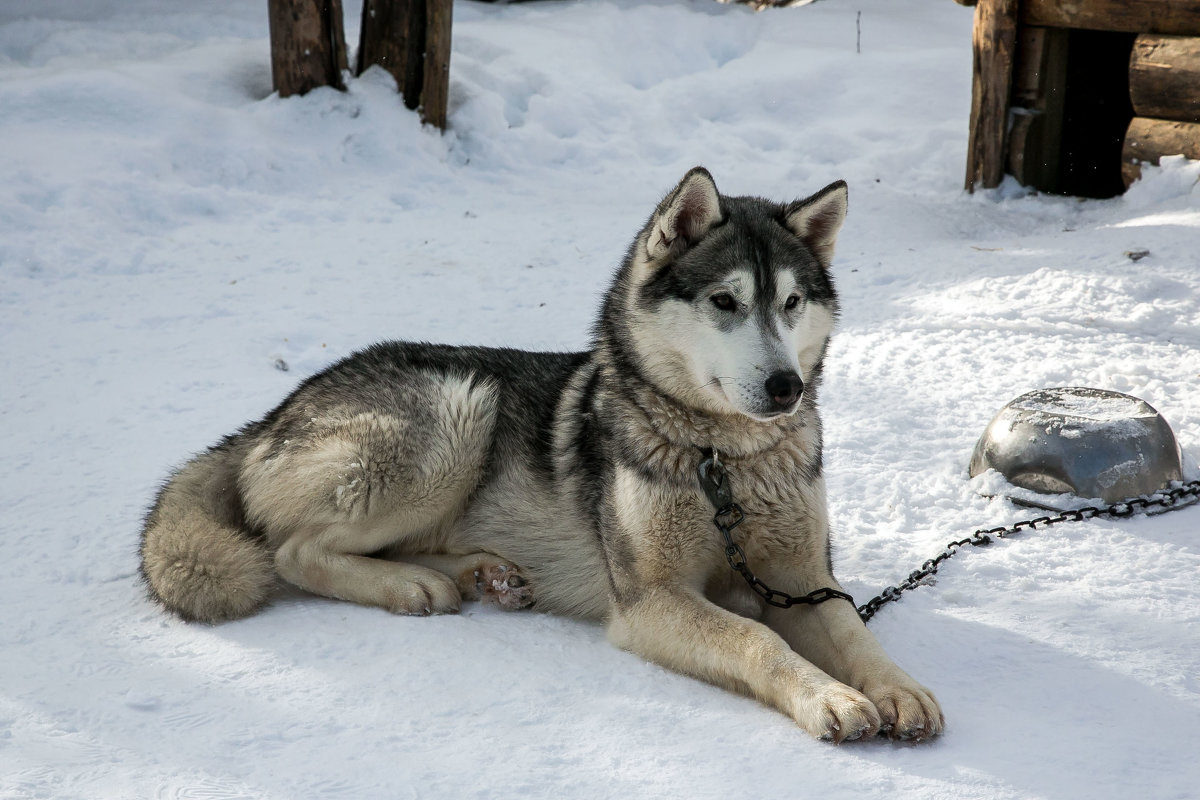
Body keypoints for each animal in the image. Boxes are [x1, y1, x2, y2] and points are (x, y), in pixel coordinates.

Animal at [140, 167, 940, 743]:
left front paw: (897, 687)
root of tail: (272, 413)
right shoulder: (650, 602)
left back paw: (479, 574)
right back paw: (412, 586)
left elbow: (851, 628)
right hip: (456, 413)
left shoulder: (802, 577)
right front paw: (830, 697)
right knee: (291, 550)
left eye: (793, 302)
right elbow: (756, 640)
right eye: (725, 301)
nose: (785, 386)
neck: (723, 463)